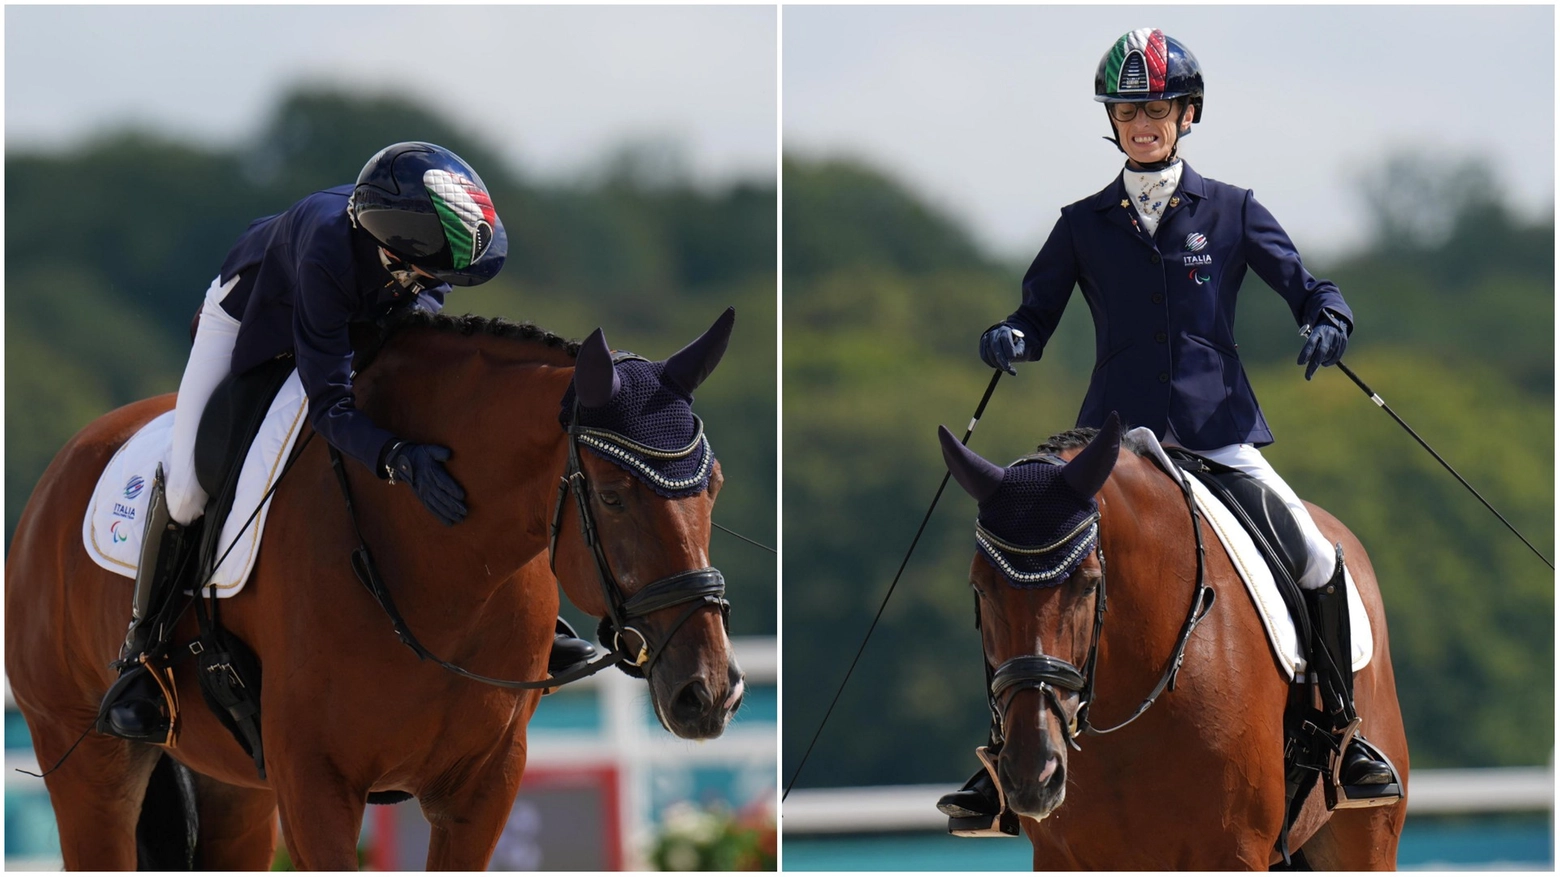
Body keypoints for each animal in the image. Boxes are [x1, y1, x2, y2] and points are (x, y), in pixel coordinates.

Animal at [4, 307, 748, 867]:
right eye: (615, 497)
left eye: (713, 487)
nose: (709, 692)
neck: (443, 567)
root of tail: (61, 471)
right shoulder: (318, 784)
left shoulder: (484, 785)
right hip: (91, 764)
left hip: (235, 790)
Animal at [935, 411, 1416, 861]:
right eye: (980, 587)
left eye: (1089, 584)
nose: (1033, 774)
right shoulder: (1062, 857)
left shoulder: (1234, 850)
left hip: (1364, 840)